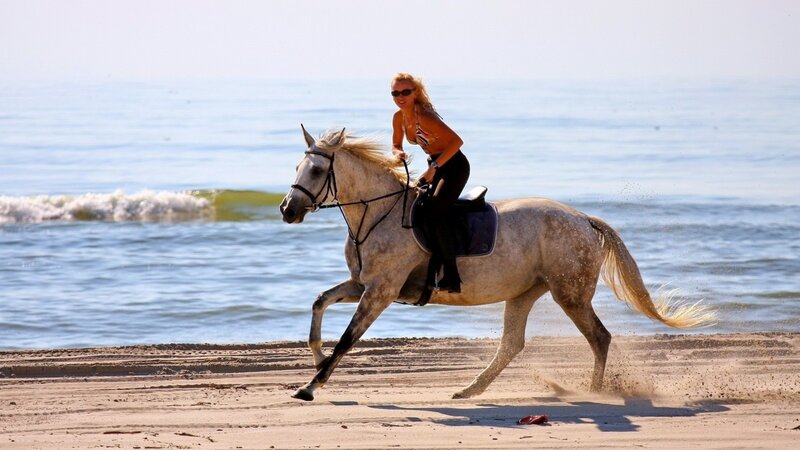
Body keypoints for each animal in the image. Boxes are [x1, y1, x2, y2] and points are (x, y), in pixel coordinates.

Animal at [279, 126, 715, 402]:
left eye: (316, 169)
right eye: (296, 168)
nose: (287, 210)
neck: (378, 214)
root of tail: (584, 220)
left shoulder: (381, 291)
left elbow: (347, 339)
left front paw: (310, 387)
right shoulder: (362, 284)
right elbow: (320, 302)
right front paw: (315, 358)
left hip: (569, 294)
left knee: (599, 338)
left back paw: (593, 393)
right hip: (525, 292)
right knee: (512, 344)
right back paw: (470, 390)